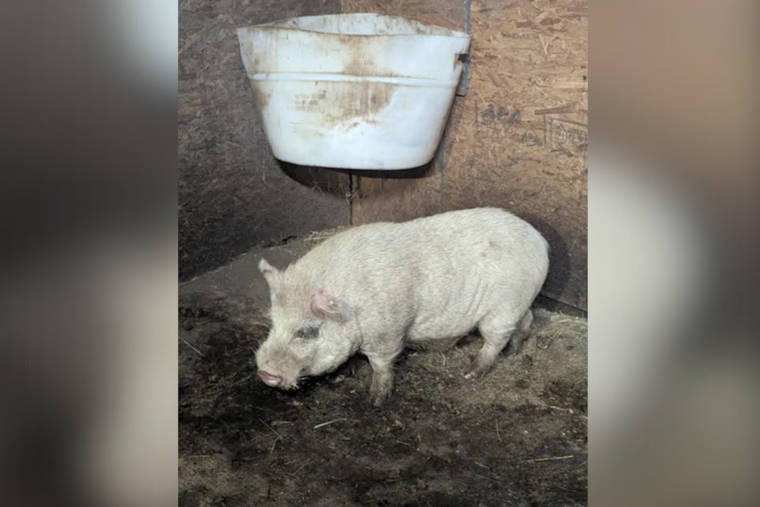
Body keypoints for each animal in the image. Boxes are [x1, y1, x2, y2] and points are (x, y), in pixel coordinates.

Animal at [255, 207, 549, 406]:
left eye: (307, 331)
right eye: (274, 323)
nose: (263, 373)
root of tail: (541, 243)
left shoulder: (387, 332)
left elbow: (381, 364)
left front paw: (375, 401)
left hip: (503, 306)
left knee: (494, 339)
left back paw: (470, 373)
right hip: (519, 303)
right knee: (526, 320)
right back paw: (513, 352)